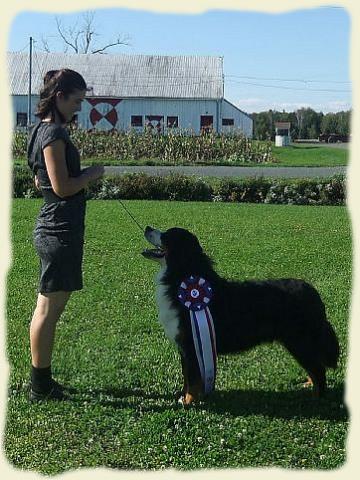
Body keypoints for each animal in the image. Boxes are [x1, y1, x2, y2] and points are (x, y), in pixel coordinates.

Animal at [141, 225, 340, 404]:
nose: (147, 227)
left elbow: (192, 378)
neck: (183, 278)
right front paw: (184, 397)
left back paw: (317, 399)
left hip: (299, 341)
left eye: (167, 235)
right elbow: (187, 377)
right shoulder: (186, 347)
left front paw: (188, 401)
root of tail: (312, 291)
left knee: (318, 369)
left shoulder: (190, 345)